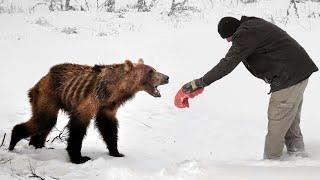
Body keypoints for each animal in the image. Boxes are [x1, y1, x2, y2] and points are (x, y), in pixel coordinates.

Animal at [8, 58, 169, 163]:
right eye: (151, 71)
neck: (115, 89)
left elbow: (108, 128)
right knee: (44, 120)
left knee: (46, 123)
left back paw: (38, 145)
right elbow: (78, 127)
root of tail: (41, 80)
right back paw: (13, 141)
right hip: (48, 95)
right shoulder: (90, 100)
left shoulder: (108, 106)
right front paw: (79, 157)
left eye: (154, 69)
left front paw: (116, 152)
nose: (167, 77)